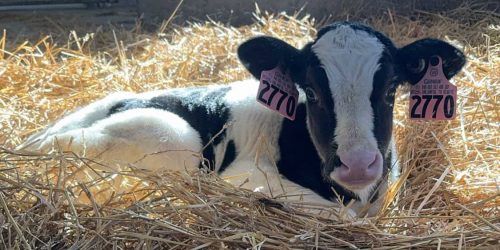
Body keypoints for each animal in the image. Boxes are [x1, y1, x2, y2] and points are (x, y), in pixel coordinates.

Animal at [18, 22, 464, 216]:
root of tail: (31, 146)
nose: (356, 164)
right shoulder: (243, 176)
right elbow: (341, 218)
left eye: (390, 90)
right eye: (312, 91)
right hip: (173, 138)